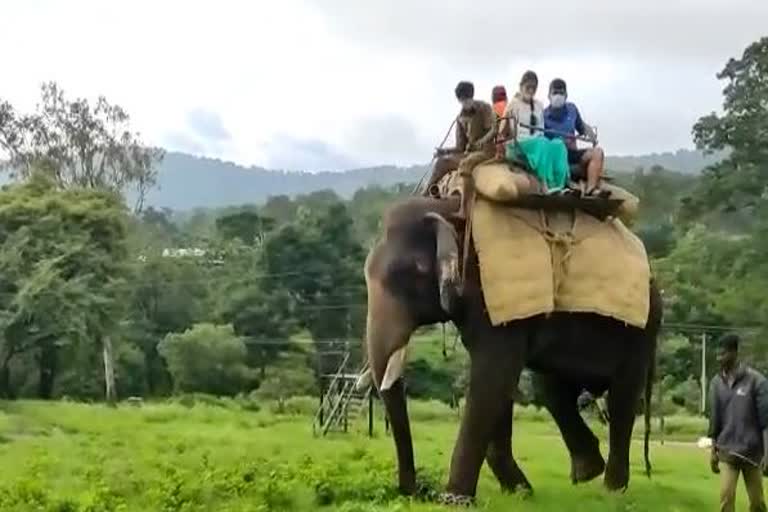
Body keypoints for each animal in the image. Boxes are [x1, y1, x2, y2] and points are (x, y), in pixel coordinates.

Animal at [364, 195, 664, 504]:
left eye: (413, 274)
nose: (416, 492)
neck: (451, 207)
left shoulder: (490, 294)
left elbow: (494, 375)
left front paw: (455, 500)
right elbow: (499, 383)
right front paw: (520, 492)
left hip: (640, 332)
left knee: (622, 398)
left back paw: (612, 490)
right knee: (551, 389)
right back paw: (587, 472)